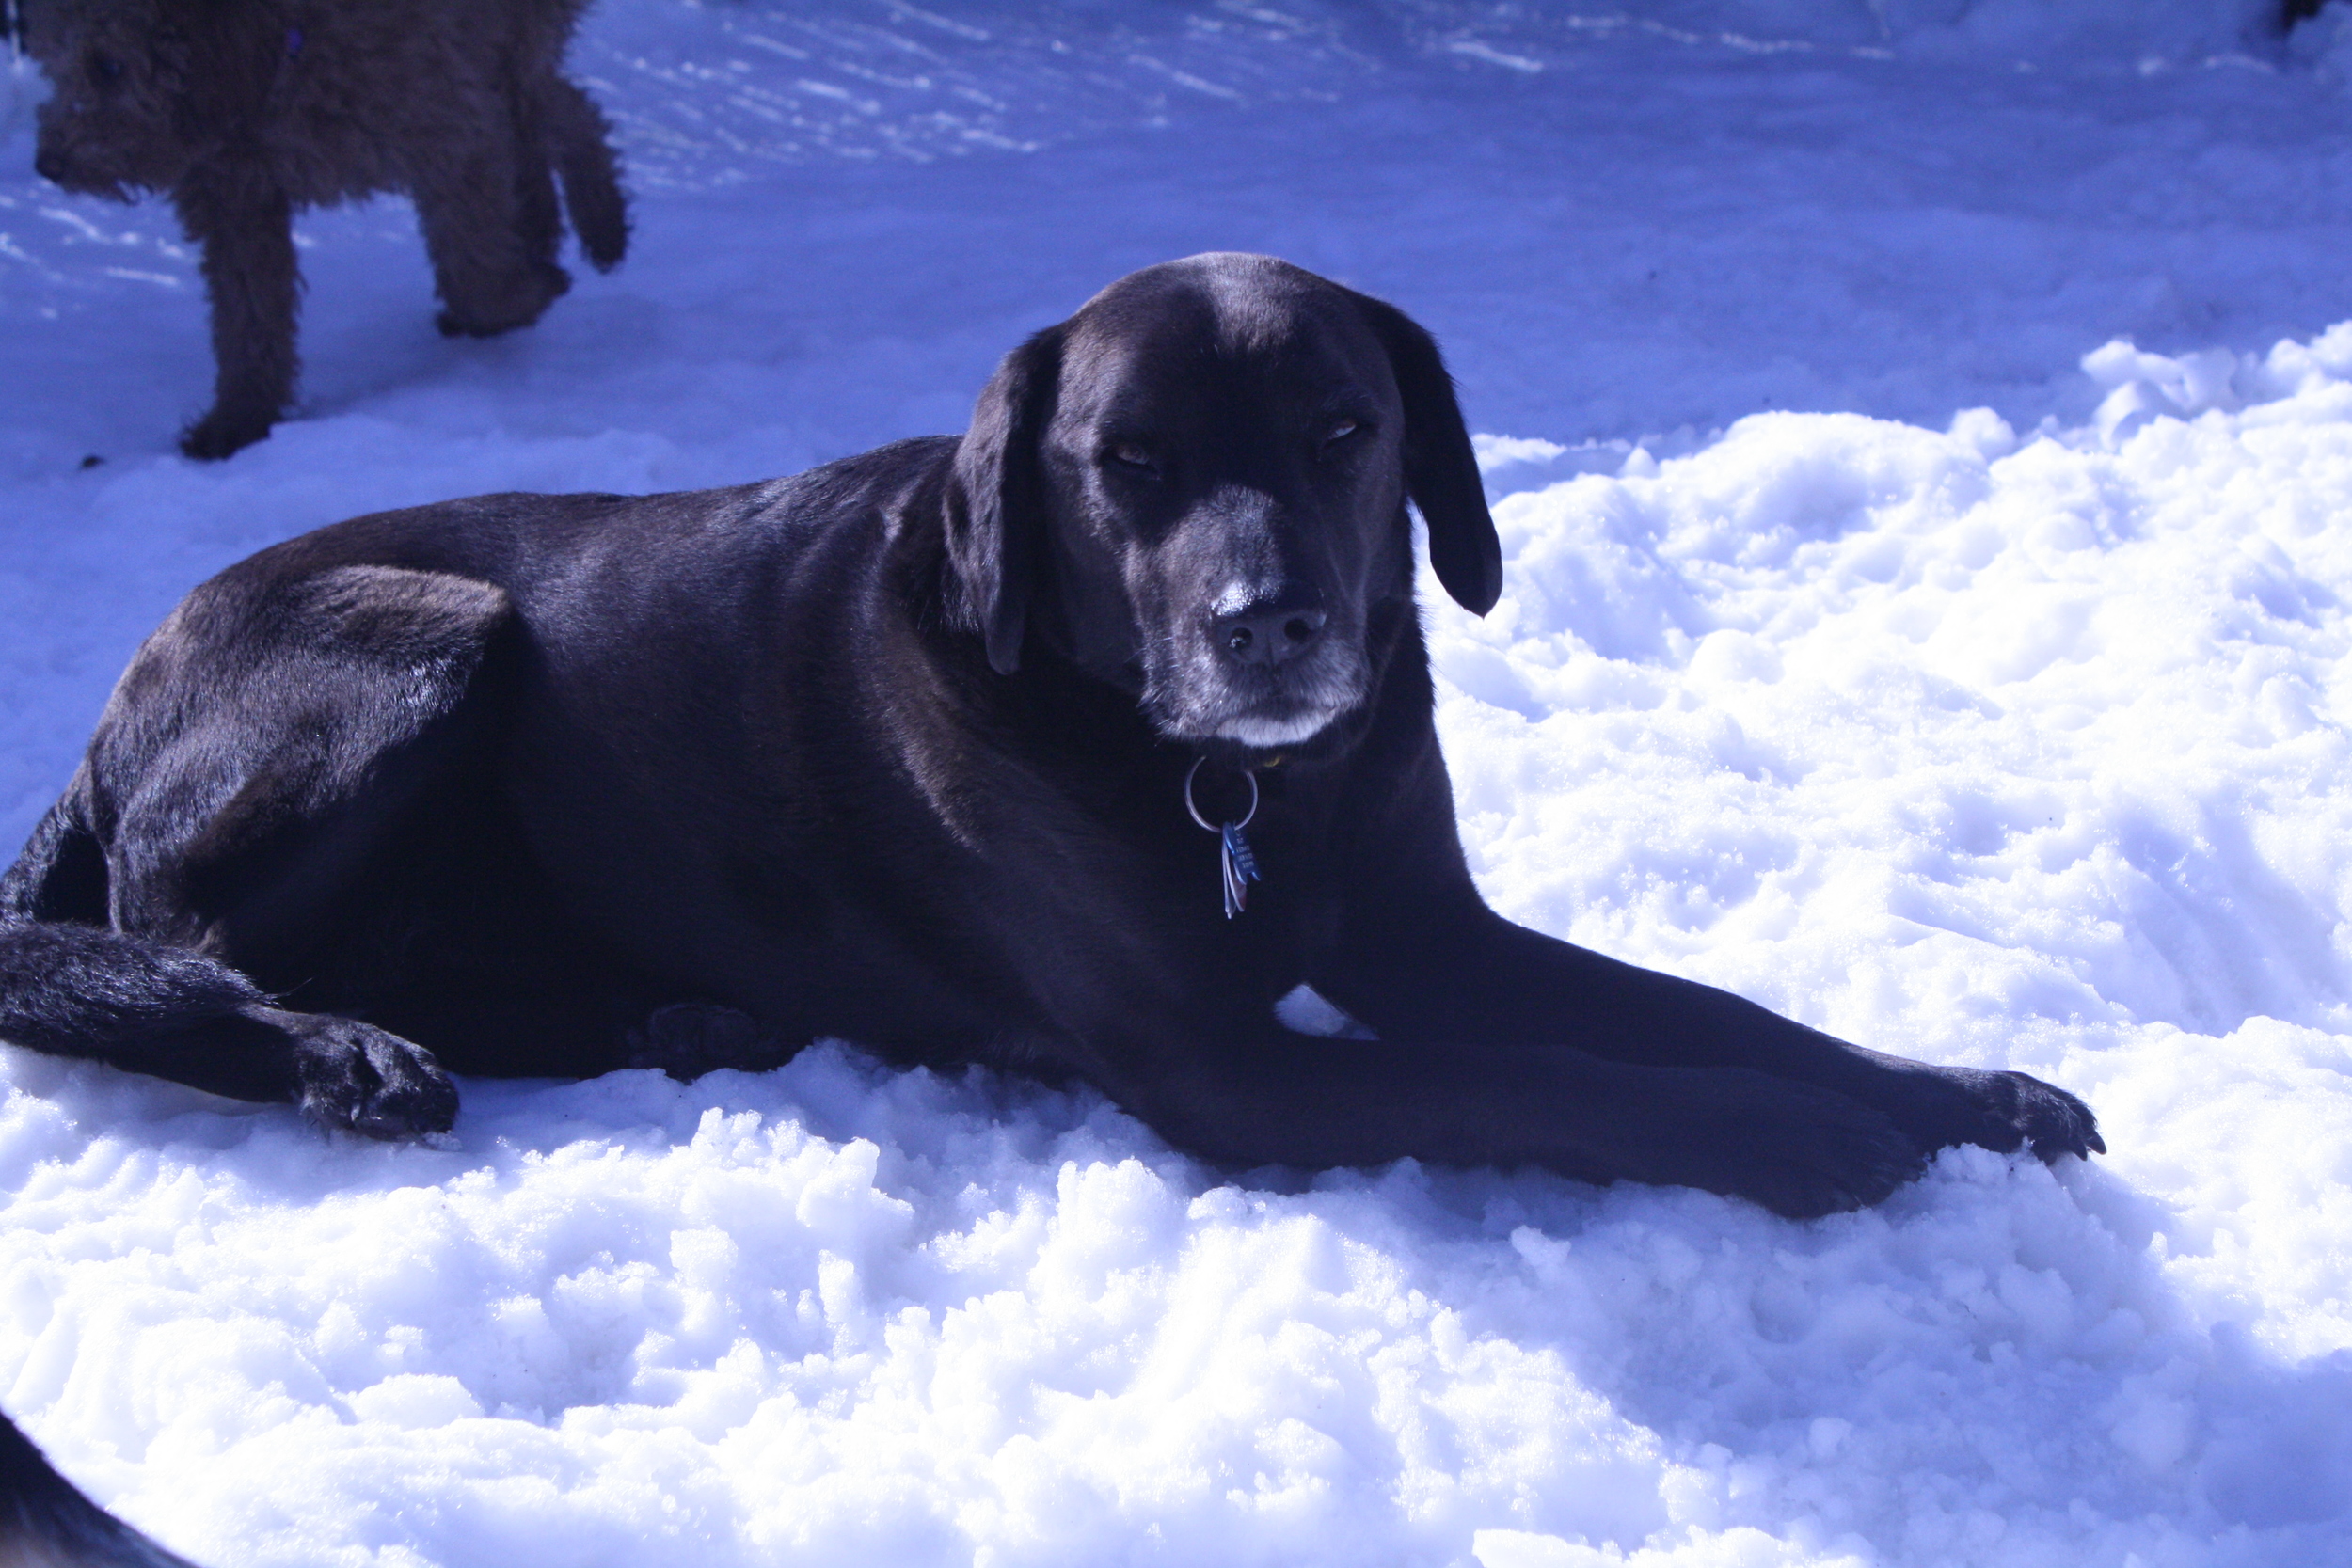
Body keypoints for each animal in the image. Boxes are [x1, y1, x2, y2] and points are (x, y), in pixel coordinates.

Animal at [0, 255, 2098, 1212]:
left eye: (1345, 426)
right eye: (1128, 461)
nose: (1272, 623)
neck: (1249, 785)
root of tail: (107, 713)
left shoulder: (1432, 930)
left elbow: (1701, 1008)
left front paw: (1960, 1091)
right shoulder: (1224, 1070)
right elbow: (1558, 1079)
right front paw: (1795, 1135)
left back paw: (669, 1017)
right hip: (437, 635)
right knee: (178, 950)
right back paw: (342, 1053)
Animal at [23, 0, 630, 460]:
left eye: (107, 65)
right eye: (53, 62)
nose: (49, 164)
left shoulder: (442, 118)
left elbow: (475, 275)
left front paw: (529, 293)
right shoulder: (235, 194)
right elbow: (247, 319)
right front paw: (237, 422)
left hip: (505, 50)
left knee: (558, 105)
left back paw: (602, 228)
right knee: (547, 113)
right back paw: (556, 234)